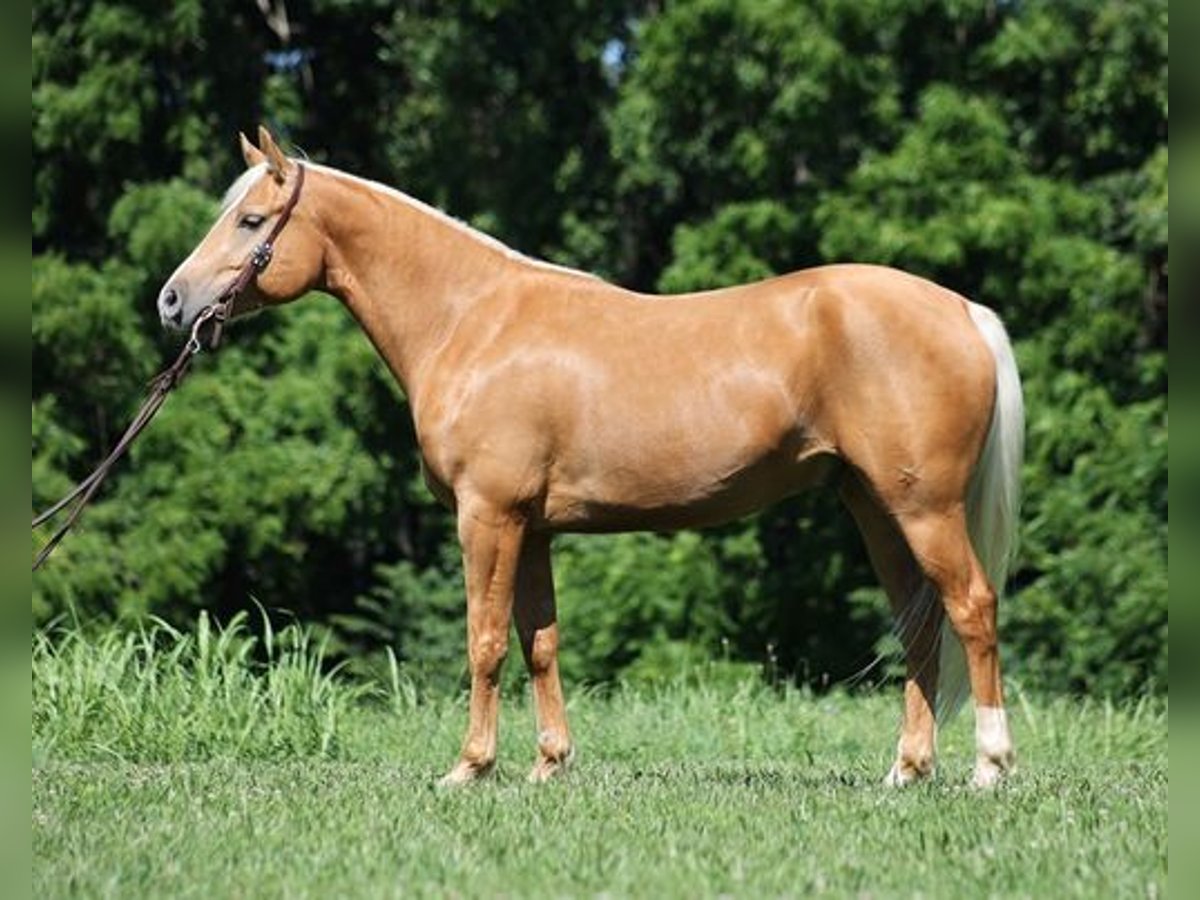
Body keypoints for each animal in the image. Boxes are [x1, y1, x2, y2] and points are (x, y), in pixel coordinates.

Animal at [159, 127, 1022, 787]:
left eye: (252, 220)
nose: (172, 301)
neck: (472, 321)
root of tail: (963, 310)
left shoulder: (488, 517)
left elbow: (485, 641)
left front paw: (469, 768)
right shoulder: (533, 527)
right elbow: (540, 643)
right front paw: (548, 765)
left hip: (923, 508)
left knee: (972, 609)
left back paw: (989, 768)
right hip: (875, 507)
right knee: (919, 626)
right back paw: (907, 770)